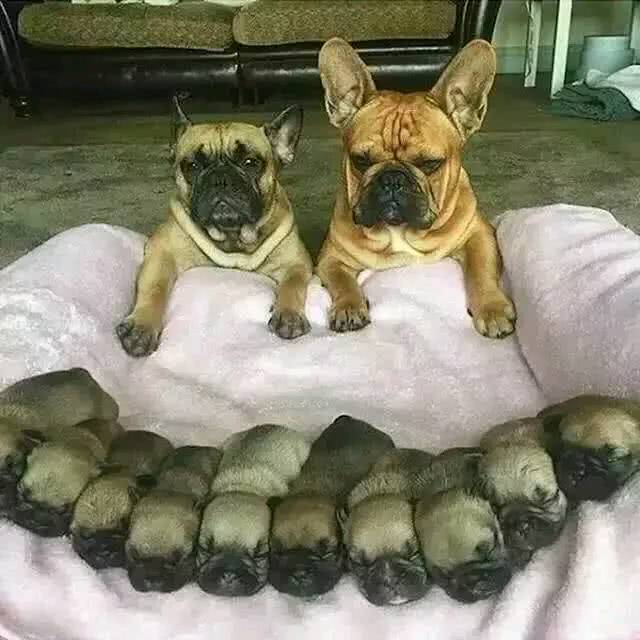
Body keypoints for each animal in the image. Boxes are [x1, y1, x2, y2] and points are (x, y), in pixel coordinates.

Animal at [116, 98, 313, 357]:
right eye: (191, 166)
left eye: (250, 163)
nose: (220, 178)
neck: (232, 236)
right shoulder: (161, 254)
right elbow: (154, 288)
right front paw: (142, 326)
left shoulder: (296, 262)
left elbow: (293, 284)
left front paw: (289, 315)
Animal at [315, 38, 515, 338]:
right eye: (360, 160)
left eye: (430, 163)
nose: (392, 179)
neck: (399, 231)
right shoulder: (330, 257)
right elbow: (341, 280)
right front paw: (348, 307)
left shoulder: (480, 235)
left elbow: (482, 270)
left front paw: (492, 309)